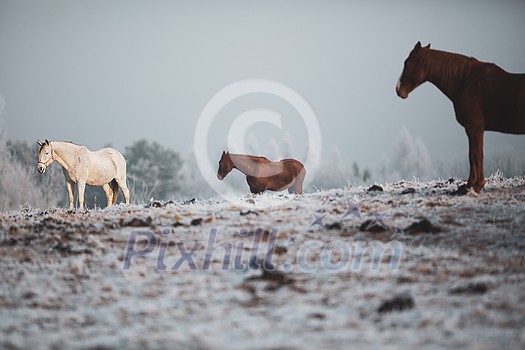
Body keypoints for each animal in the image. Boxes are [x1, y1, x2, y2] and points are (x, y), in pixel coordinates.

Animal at [398, 42, 524, 194]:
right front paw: (470, 185)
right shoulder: (471, 129)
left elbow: (477, 155)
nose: (399, 90)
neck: (466, 81)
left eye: (407, 63)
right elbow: (471, 156)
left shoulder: (475, 127)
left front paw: (477, 185)